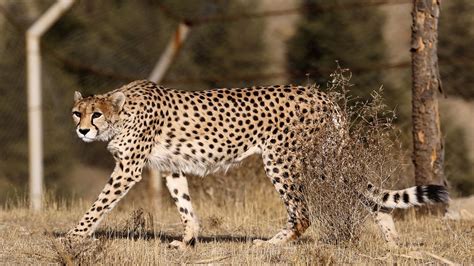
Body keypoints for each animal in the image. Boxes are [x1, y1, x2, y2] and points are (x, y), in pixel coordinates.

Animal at [69, 80, 448, 248]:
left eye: (96, 114)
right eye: (77, 112)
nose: (82, 130)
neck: (122, 113)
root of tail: (322, 94)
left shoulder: (129, 169)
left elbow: (100, 203)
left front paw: (73, 235)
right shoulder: (171, 167)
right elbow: (185, 205)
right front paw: (187, 240)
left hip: (283, 159)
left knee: (303, 213)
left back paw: (273, 243)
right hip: (326, 160)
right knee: (370, 197)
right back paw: (392, 242)